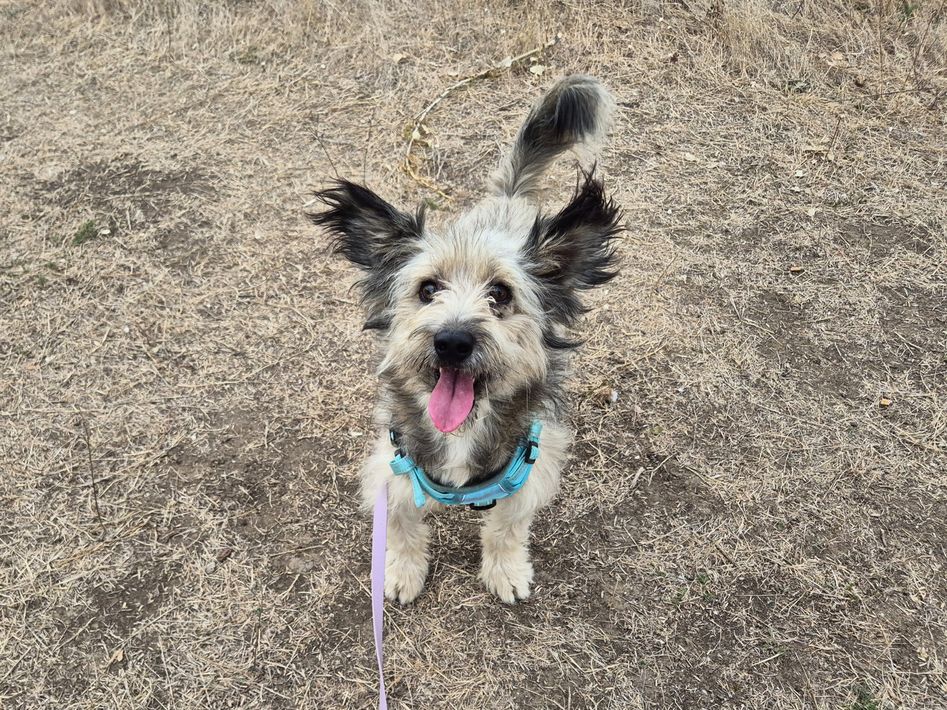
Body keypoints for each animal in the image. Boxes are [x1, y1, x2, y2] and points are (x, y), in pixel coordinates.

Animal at [309, 75, 620, 604]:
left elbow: (507, 527)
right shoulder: (391, 469)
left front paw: (506, 569)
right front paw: (399, 571)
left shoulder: (528, 472)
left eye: (500, 295)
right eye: (427, 289)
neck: (461, 434)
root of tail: (509, 200)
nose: (452, 341)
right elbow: (402, 526)